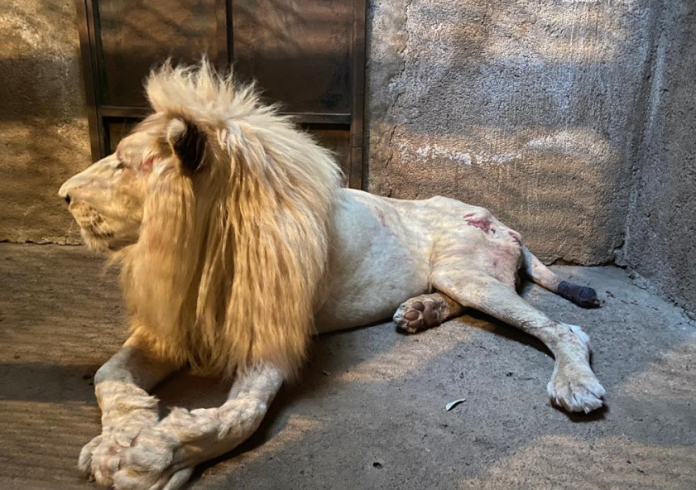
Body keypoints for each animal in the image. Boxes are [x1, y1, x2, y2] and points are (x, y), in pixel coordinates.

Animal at [59, 60, 605, 490]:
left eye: (123, 164)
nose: (62, 195)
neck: (203, 247)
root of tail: (504, 221)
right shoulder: (169, 326)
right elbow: (109, 374)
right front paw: (119, 435)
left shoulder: (271, 334)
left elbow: (241, 416)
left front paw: (152, 457)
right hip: (455, 275)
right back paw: (418, 311)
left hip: (464, 269)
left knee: (565, 329)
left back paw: (574, 384)